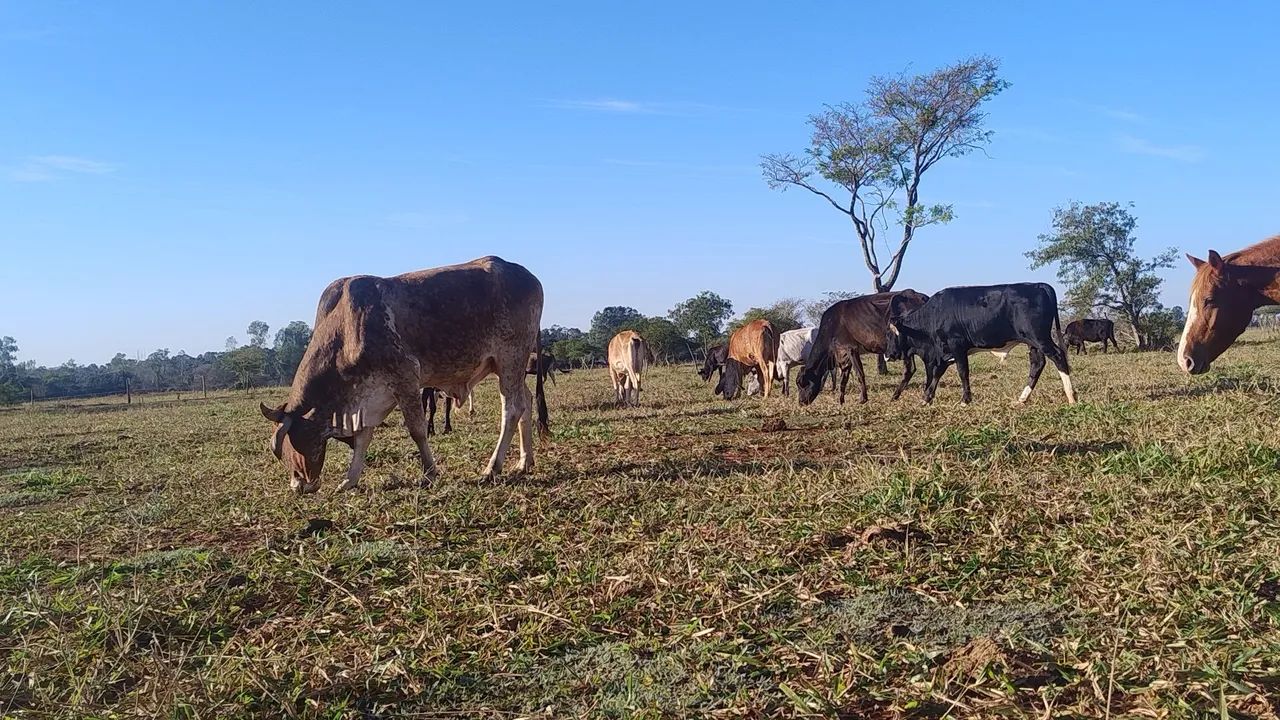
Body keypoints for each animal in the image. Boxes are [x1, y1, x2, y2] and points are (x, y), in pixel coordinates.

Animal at [259, 256, 549, 494]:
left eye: (282, 447)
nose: (298, 485)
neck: (346, 333)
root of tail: (530, 278)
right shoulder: (370, 397)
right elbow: (363, 439)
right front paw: (349, 480)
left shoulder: (406, 378)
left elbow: (417, 430)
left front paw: (430, 473)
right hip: (507, 367)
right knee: (525, 402)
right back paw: (524, 461)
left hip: (510, 358)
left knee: (512, 409)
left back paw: (492, 468)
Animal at [797, 291, 930, 406]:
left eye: (802, 383)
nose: (801, 402)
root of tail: (922, 297)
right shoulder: (843, 354)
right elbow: (844, 378)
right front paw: (841, 401)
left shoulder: (851, 348)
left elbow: (859, 373)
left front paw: (862, 399)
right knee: (910, 370)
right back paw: (896, 396)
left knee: (913, 369)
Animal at [883, 282, 1076, 405]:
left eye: (890, 335)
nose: (887, 355)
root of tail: (1039, 285)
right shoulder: (945, 352)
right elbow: (938, 373)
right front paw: (926, 398)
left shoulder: (956, 346)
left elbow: (963, 372)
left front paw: (965, 400)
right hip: (1032, 342)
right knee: (1037, 364)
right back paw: (1022, 399)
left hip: (1040, 338)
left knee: (1058, 356)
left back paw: (1071, 396)